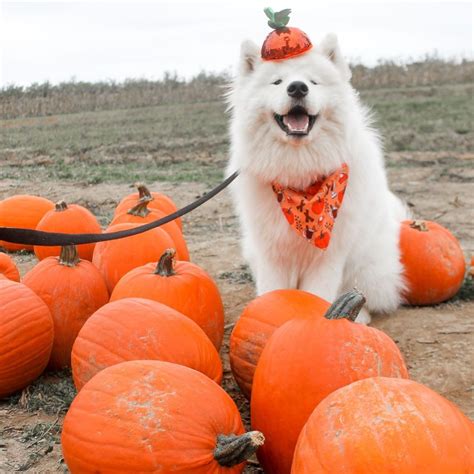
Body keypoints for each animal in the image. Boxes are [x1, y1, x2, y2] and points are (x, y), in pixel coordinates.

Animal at [226, 33, 408, 322]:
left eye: (313, 82)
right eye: (277, 82)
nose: (297, 88)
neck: (300, 169)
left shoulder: (328, 256)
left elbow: (318, 294)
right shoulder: (270, 251)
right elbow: (271, 291)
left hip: (367, 264)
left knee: (367, 297)